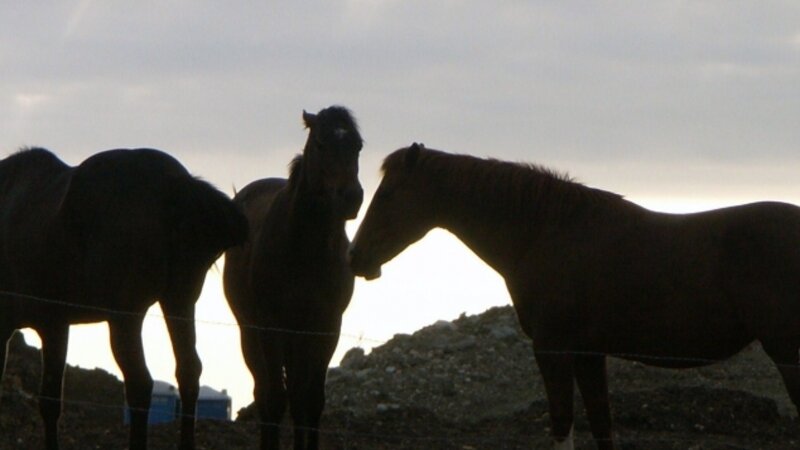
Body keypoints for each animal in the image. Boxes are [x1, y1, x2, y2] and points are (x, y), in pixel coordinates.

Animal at [0, 147, 248, 450]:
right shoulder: (56, 326)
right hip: (179, 301)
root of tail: (177, 185)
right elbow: (50, 401)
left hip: (126, 317)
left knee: (140, 383)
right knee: (189, 371)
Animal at [223, 106, 363, 450]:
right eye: (321, 143)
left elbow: (310, 400)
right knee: (265, 393)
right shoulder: (271, 326)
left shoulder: (326, 327)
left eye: (357, 146)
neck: (305, 249)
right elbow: (275, 399)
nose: (352, 197)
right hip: (252, 333)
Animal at [348, 143, 800, 450]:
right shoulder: (588, 354)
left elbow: (563, 424)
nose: (356, 257)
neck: (544, 233)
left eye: (386, 195)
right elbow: (601, 426)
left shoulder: (553, 349)